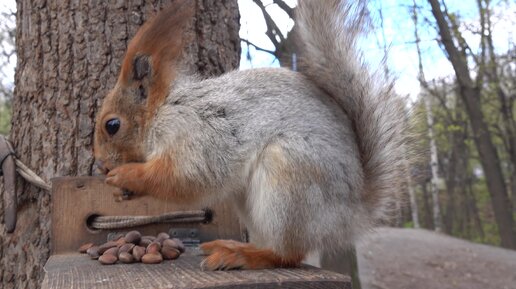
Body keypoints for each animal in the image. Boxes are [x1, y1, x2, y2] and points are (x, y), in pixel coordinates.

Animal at [92, 0, 408, 270]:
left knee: (287, 254)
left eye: (112, 125)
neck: (162, 111)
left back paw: (242, 256)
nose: (102, 165)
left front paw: (127, 175)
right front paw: (121, 191)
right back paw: (231, 246)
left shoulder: (196, 133)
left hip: (288, 176)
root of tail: (351, 214)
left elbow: (187, 177)